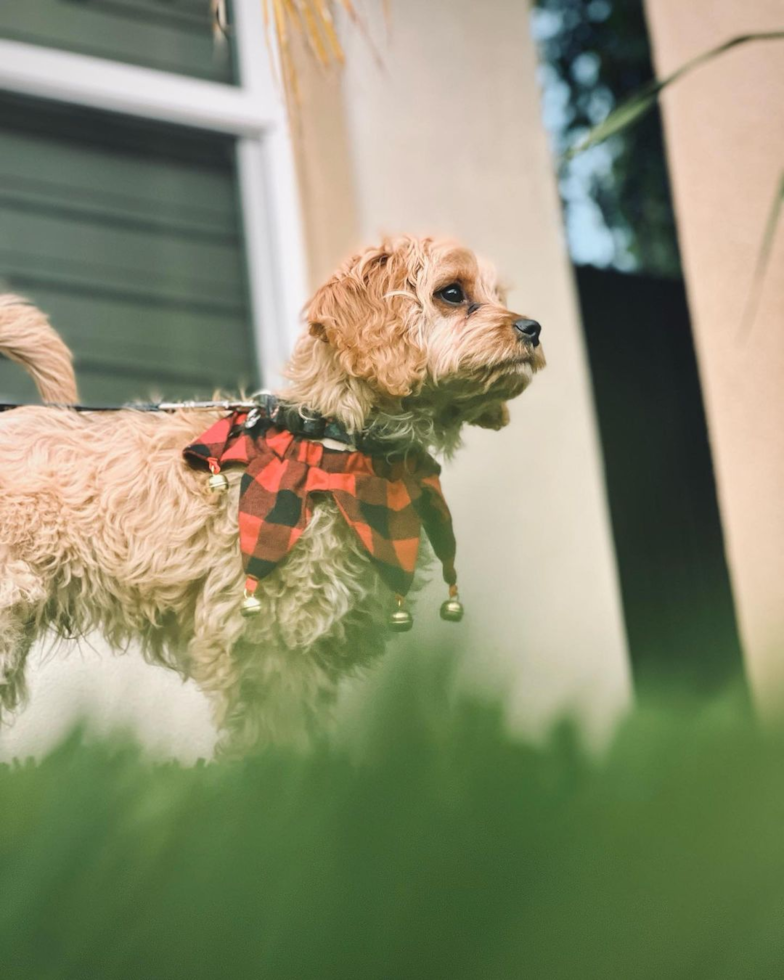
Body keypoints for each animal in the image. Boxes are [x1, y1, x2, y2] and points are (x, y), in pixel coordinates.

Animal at [0, 237, 544, 756]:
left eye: (499, 295)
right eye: (451, 293)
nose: (534, 328)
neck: (334, 439)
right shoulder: (266, 638)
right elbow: (274, 733)